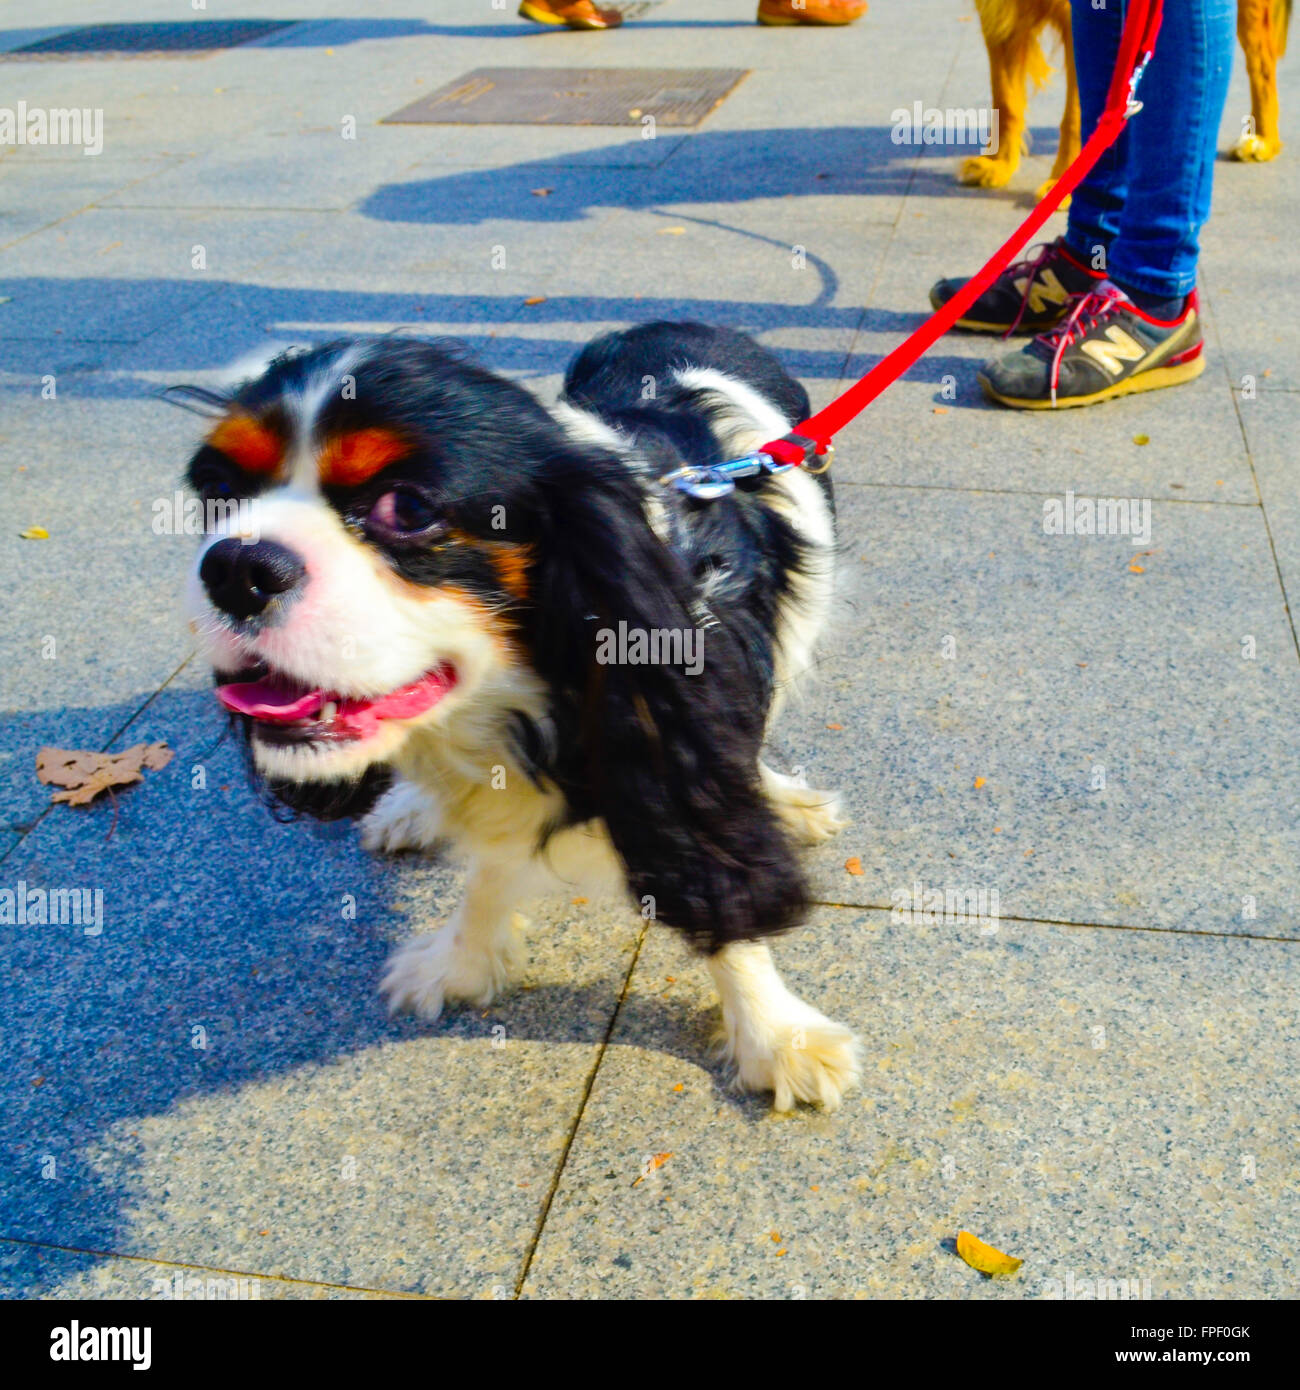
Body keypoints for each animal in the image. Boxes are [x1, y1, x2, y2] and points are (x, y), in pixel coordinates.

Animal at [180, 322, 856, 1106]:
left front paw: (776, 1036)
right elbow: (491, 865)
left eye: (407, 509)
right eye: (220, 494)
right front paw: (463, 961)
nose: (235, 568)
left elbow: (717, 852)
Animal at [962, 0, 1295, 202]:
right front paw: (998, 165)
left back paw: (1262, 140)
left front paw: (1063, 183)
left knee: (1262, 66)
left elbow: (1073, 117)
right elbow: (1006, 102)